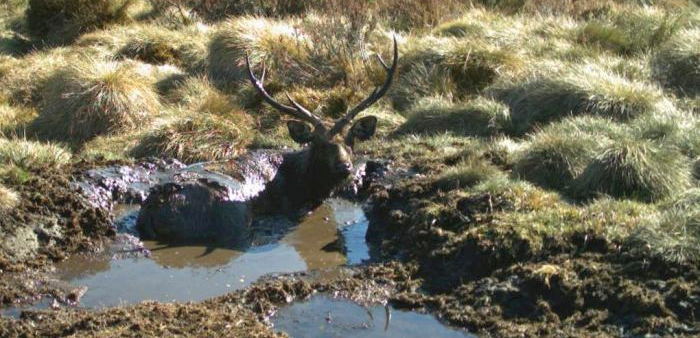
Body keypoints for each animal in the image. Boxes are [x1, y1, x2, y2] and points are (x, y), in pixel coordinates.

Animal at [137, 37, 400, 243]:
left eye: (351, 140)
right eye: (318, 143)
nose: (344, 166)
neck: (307, 186)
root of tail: (156, 206)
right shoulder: (290, 205)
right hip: (231, 217)